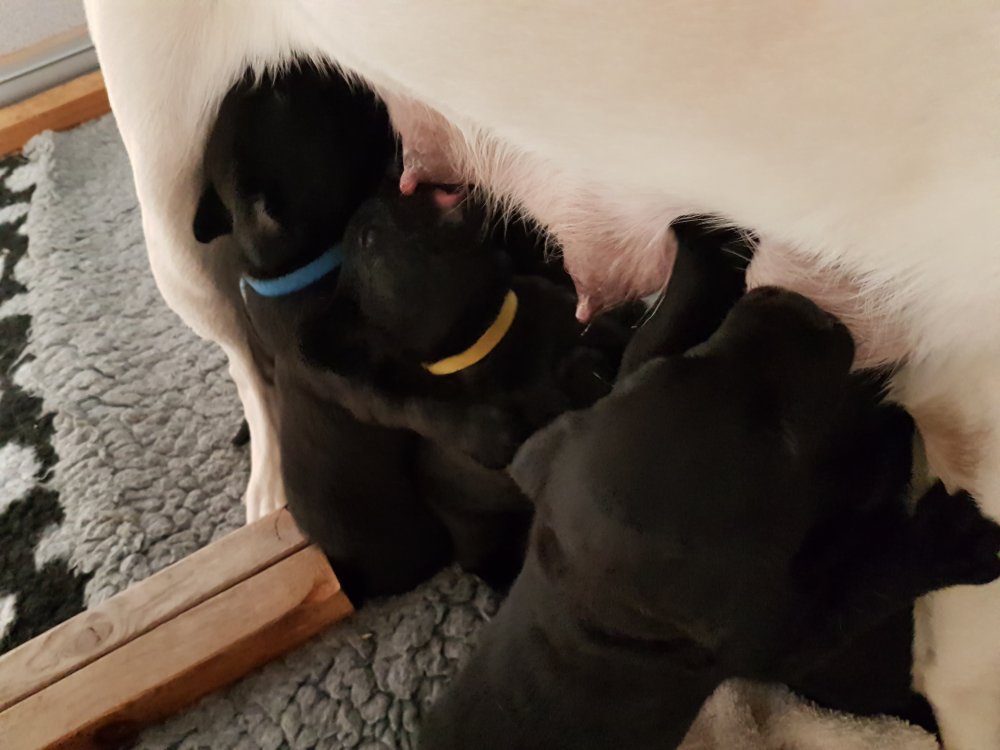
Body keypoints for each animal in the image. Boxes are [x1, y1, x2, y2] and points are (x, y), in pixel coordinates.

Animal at [419, 286, 1000, 749]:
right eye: (780, 436)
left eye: (687, 359)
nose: (790, 300)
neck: (582, 597)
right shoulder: (779, 633)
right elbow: (868, 577)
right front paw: (948, 538)